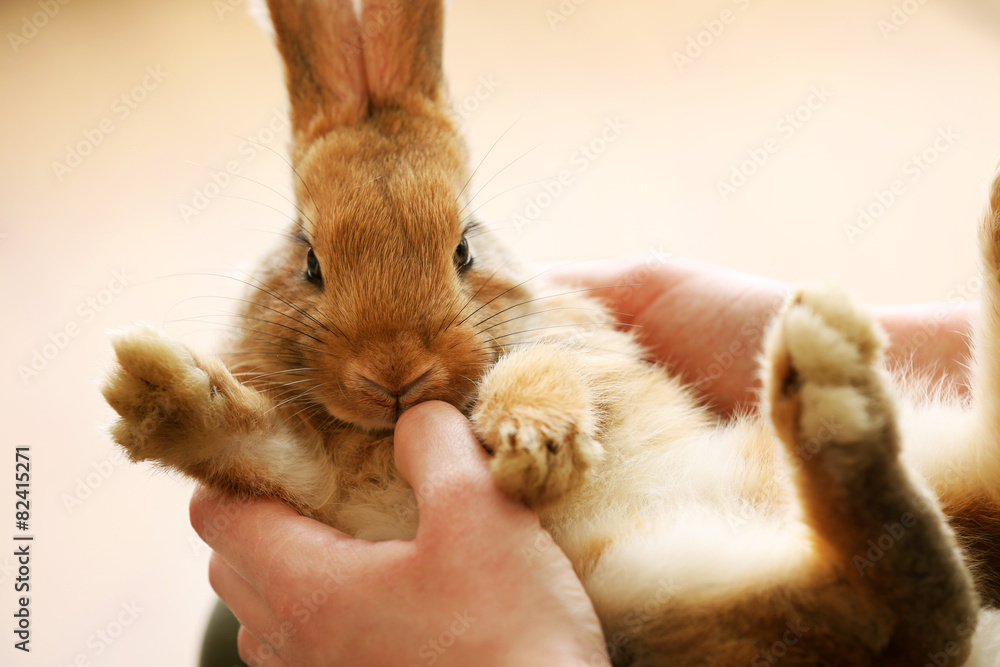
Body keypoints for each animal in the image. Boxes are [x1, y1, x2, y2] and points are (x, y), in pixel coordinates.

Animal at [101, 0, 1000, 664]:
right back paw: (838, 379)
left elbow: (543, 371)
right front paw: (154, 389)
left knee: (912, 603)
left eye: (464, 248)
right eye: (310, 258)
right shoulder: (316, 484)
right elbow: (254, 445)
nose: (394, 372)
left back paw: (836, 379)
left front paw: (533, 442)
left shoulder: (577, 347)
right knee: (922, 569)